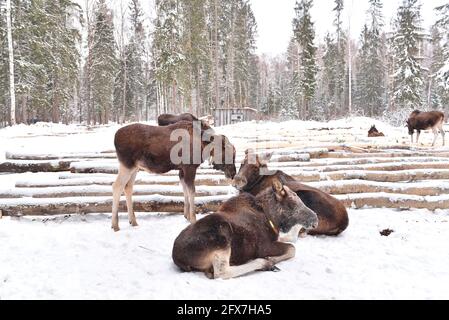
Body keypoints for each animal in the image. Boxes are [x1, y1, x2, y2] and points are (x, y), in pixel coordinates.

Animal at [172, 179, 318, 278]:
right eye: (292, 203)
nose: (315, 220)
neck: (271, 218)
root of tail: (177, 256)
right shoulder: (263, 247)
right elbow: (292, 249)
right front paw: (271, 259)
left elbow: (291, 243)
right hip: (222, 235)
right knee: (221, 272)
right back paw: (263, 263)